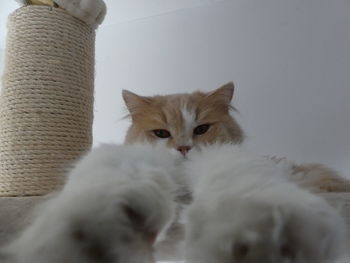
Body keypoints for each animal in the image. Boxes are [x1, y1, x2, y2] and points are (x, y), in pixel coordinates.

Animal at [2, 144, 348, 263]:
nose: (182, 150)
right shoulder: (134, 157)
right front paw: (91, 233)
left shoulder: (222, 155)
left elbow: (245, 183)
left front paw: (265, 225)